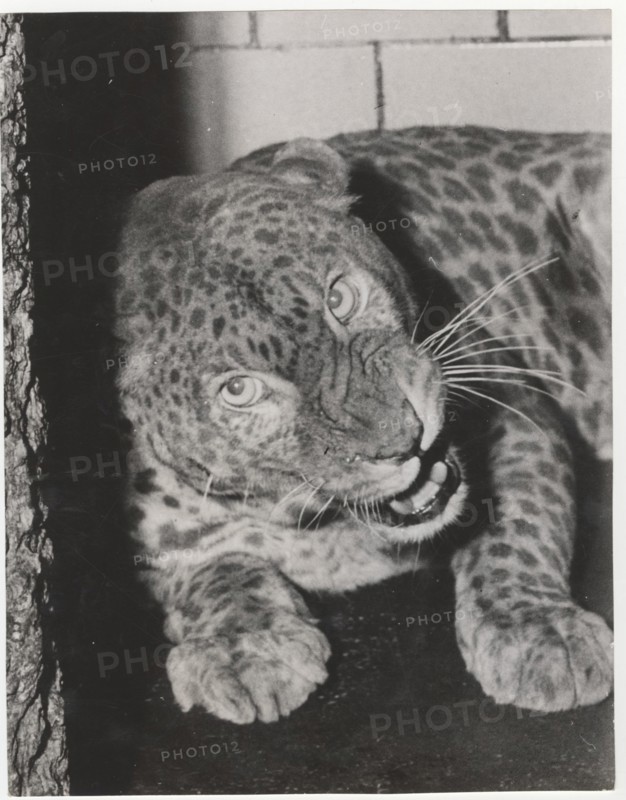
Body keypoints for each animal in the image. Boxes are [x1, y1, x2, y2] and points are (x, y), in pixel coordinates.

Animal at [114, 125, 612, 724]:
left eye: (341, 298)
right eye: (239, 391)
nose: (403, 439)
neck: (329, 528)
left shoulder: (507, 397)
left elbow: (514, 528)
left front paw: (537, 630)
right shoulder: (152, 532)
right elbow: (211, 571)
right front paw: (244, 647)